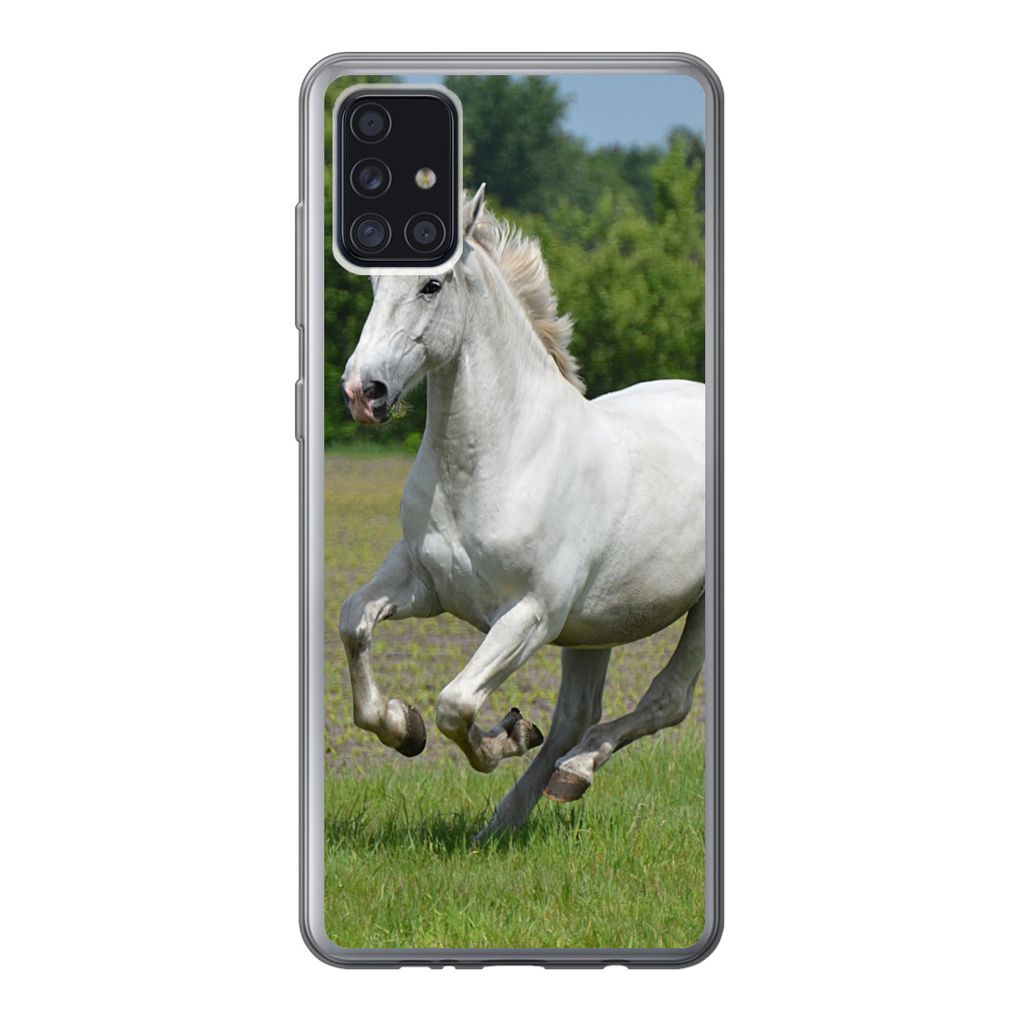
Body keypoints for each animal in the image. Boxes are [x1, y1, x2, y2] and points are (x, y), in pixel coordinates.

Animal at [338, 185, 705, 841]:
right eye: (375, 282)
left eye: (431, 285)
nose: (363, 391)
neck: (498, 461)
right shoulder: (423, 583)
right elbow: (353, 622)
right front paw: (403, 728)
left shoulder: (530, 616)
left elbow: (456, 704)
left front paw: (506, 733)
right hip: (596, 626)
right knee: (575, 716)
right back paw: (508, 819)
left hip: (698, 609)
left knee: (667, 700)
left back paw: (574, 772)